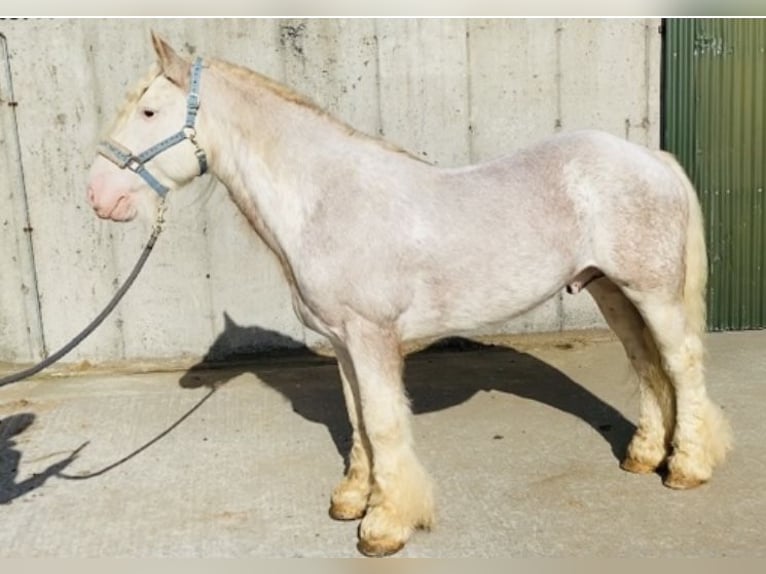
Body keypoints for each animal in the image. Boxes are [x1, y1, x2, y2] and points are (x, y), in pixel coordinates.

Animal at [87, 32, 736, 560]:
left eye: (149, 109)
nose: (99, 196)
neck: (325, 200)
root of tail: (650, 158)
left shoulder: (371, 338)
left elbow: (383, 422)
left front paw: (386, 526)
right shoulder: (343, 344)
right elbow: (357, 419)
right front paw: (353, 499)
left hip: (653, 293)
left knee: (681, 366)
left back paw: (688, 468)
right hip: (612, 292)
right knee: (647, 366)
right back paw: (644, 455)